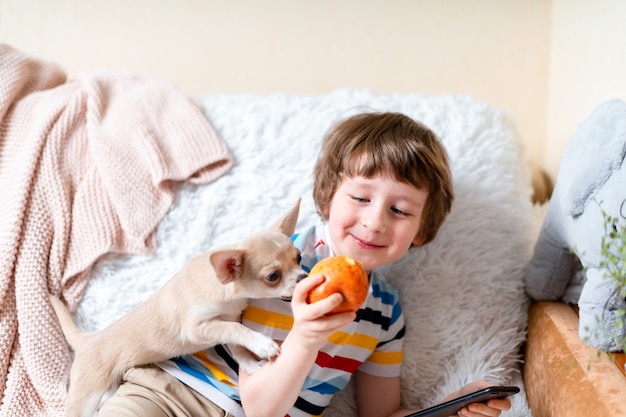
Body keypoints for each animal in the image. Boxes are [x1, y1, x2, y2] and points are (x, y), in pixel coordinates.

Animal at [48, 200, 304, 414]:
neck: (228, 293)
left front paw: (251, 363)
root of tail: (87, 340)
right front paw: (262, 344)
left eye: (299, 257)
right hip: (86, 395)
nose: (303, 277)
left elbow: (237, 345)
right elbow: (236, 330)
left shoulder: (229, 318)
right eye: (272, 276)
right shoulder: (196, 328)